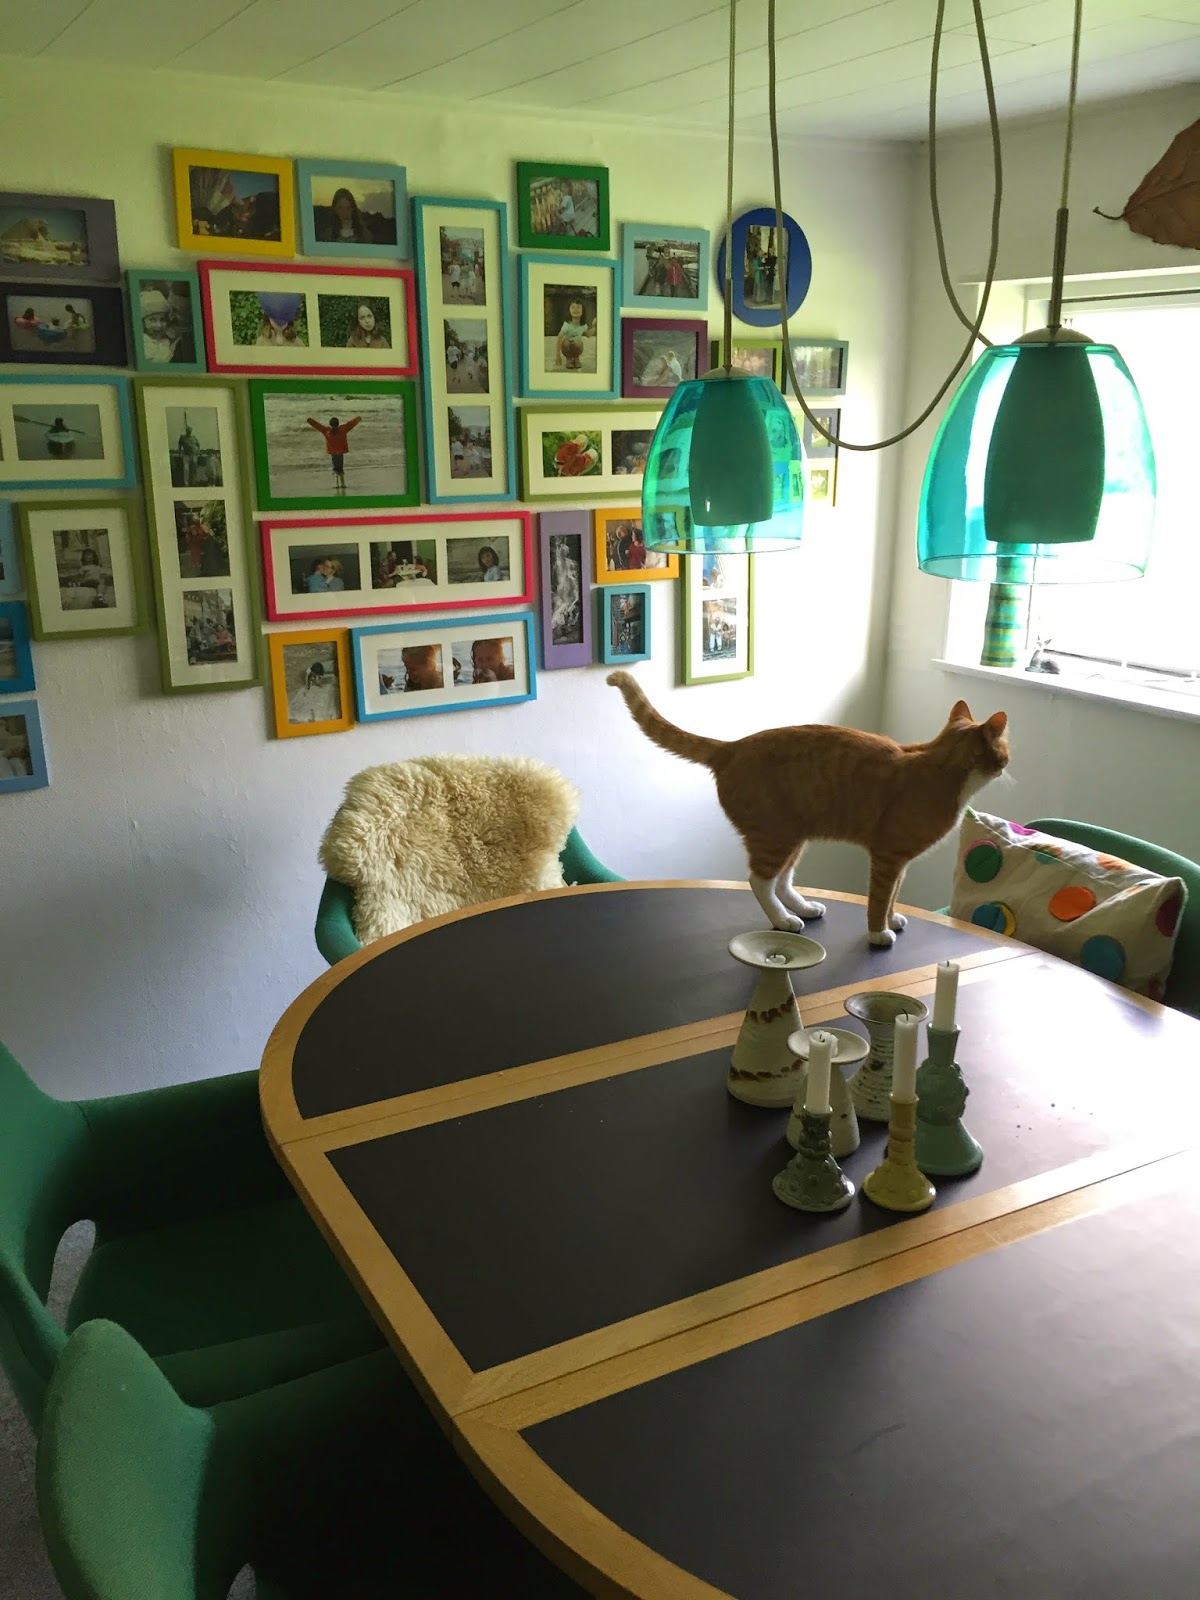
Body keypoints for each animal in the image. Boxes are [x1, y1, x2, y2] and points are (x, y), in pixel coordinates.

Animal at [607, 672, 1009, 946]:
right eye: (1005, 750)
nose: (1008, 766)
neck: (940, 765)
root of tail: (731, 746)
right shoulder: (888, 857)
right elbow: (879, 897)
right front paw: (879, 932)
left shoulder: (901, 862)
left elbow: (894, 896)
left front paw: (893, 919)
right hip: (774, 836)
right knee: (760, 881)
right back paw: (783, 920)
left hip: (794, 835)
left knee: (783, 880)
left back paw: (802, 908)